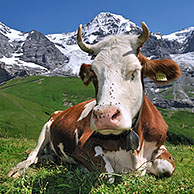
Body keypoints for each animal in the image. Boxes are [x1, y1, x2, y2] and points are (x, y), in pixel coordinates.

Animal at [7, 22, 180, 182]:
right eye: (94, 76)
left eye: (134, 71)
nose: (105, 116)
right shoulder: (83, 147)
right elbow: (108, 175)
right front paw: (82, 168)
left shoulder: (161, 147)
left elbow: (166, 166)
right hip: (45, 129)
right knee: (32, 155)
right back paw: (18, 169)